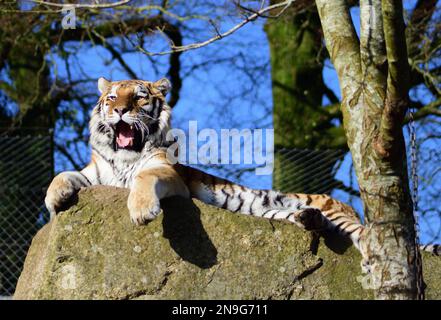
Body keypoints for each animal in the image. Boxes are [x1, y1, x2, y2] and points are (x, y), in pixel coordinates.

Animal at [43, 77, 436, 262]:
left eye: (139, 97)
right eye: (111, 97)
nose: (120, 110)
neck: (125, 157)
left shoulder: (169, 176)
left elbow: (144, 177)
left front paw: (141, 211)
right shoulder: (96, 174)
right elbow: (64, 174)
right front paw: (54, 200)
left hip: (342, 216)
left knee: (365, 235)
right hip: (277, 212)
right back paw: (306, 219)